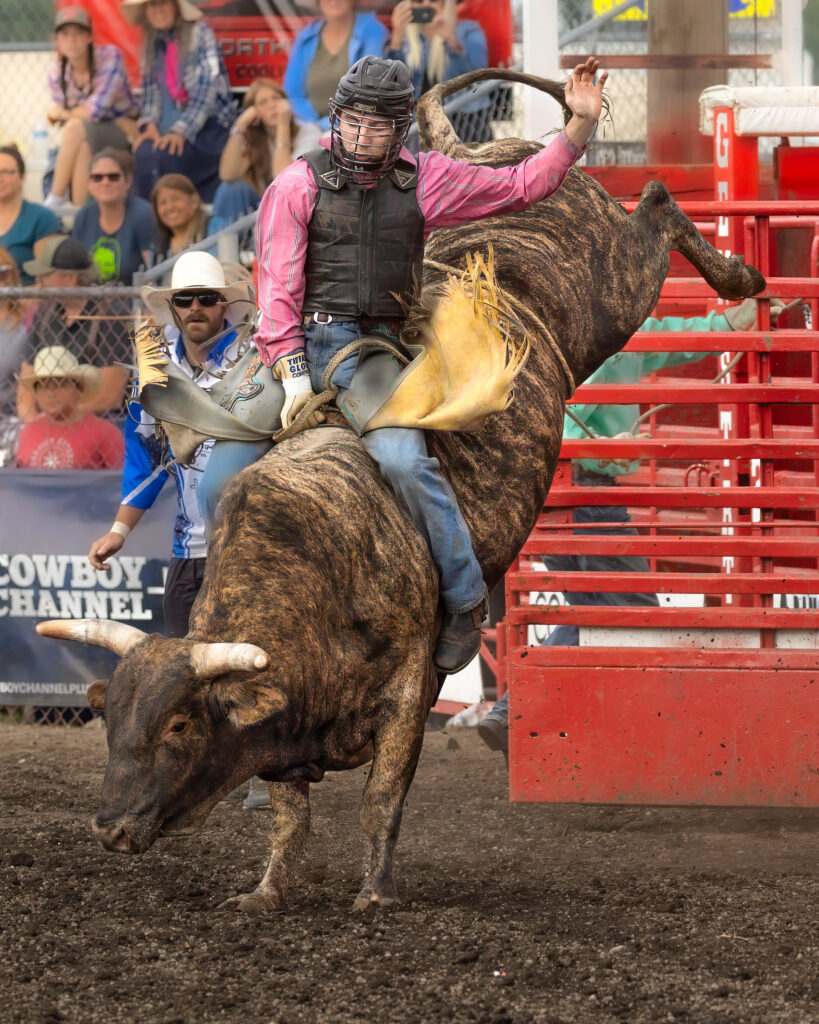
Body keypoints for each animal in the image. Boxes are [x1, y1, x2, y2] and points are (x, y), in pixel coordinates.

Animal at [38, 69, 765, 914]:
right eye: (112, 722)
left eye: (180, 727)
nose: (111, 827)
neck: (308, 581)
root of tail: (480, 153)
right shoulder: (281, 730)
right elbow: (288, 812)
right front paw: (266, 891)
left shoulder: (410, 687)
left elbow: (381, 797)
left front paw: (374, 894)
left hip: (614, 289)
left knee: (652, 207)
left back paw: (739, 277)